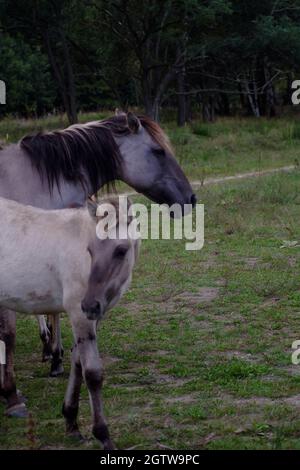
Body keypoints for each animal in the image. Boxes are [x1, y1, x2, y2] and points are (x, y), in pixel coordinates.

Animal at [0, 194, 140, 448]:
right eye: (90, 249)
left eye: (121, 250)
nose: (91, 304)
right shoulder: (78, 312)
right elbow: (92, 373)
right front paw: (103, 435)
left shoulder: (92, 318)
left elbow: (77, 364)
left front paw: (71, 421)